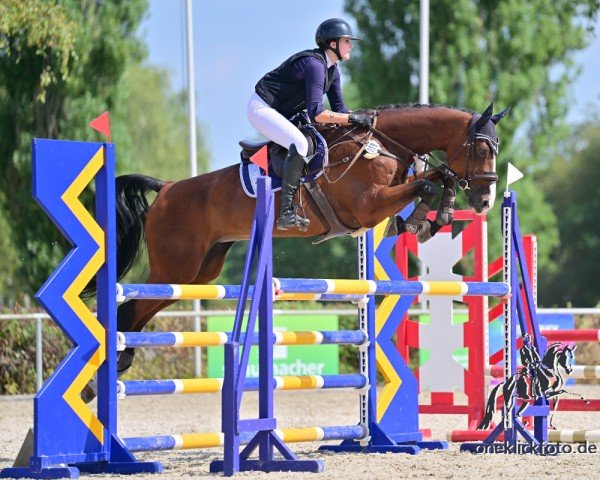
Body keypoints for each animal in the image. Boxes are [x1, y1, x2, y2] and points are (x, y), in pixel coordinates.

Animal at [82, 101, 508, 394]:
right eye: (483, 150)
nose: (486, 201)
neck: (384, 145)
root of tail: (167, 187)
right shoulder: (368, 205)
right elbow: (427, 183)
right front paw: (417, 220)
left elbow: (438, 176)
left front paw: (434, 218)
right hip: (176, 267)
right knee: (130, 307)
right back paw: (104, 374)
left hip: (199, 273)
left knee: (141, 310)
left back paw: (118, 363)